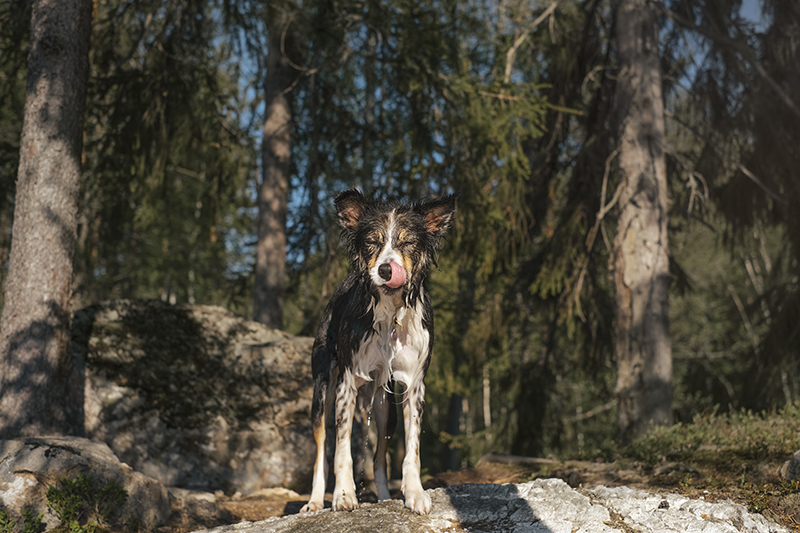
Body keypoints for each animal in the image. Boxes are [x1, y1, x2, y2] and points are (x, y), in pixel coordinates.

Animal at [300, 189, 456, 512]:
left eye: (408, 242)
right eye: (372, 241)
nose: (386, 269)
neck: (390, 313)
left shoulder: (414, 386)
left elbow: (412, 449)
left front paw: (414, 492)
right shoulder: (346, 383)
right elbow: (342, 449)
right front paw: (344, 494)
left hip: (385, 408)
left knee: (380, 457)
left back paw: (384, 496)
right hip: (322, 393)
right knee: (322, 452)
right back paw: (315, 500)